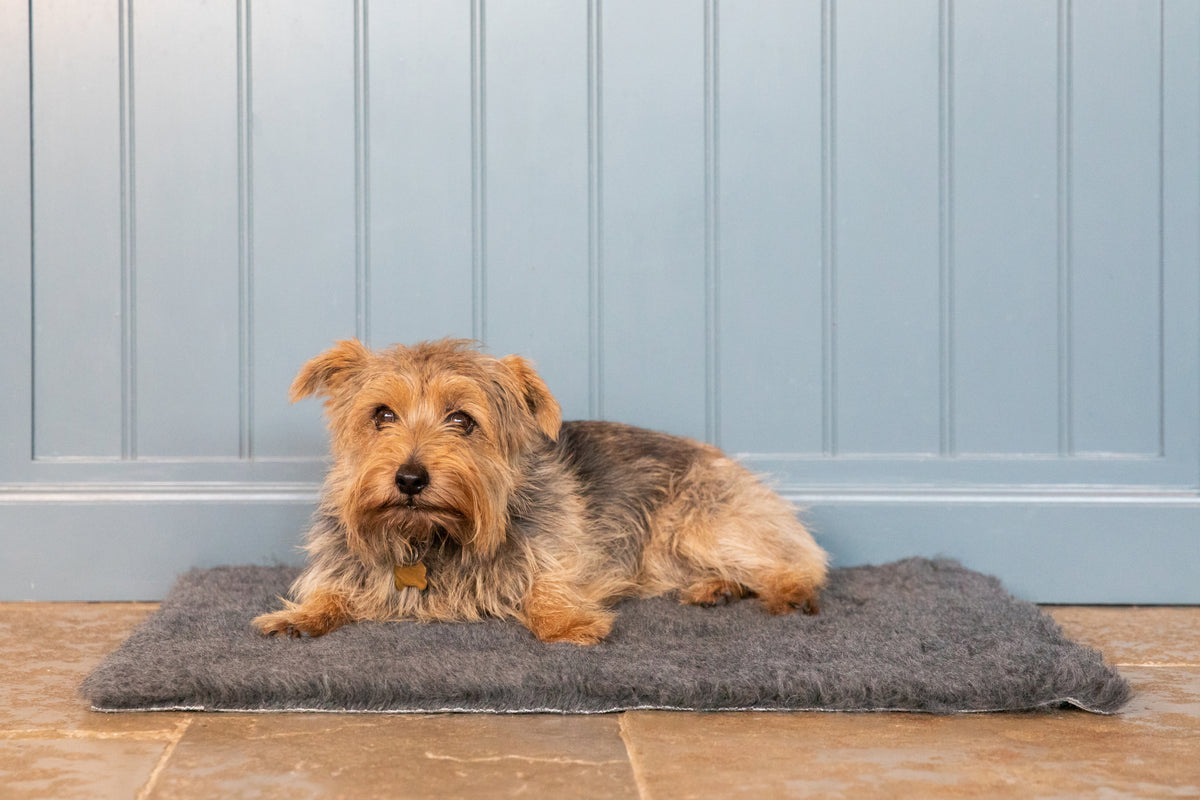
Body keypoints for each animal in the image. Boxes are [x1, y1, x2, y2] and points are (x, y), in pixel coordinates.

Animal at [252, 339, 828, 644]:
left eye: (462, 420)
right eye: (382, 415)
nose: (410, 479)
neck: (430, 536)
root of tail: (728, 461)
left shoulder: (565, 553)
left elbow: (547, 586)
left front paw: (566, 621)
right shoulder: (343, 566)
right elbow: (329, 591)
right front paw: (299, 616)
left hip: (701, 524)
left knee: (801, 560)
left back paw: (787, 592)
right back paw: (715, 588)